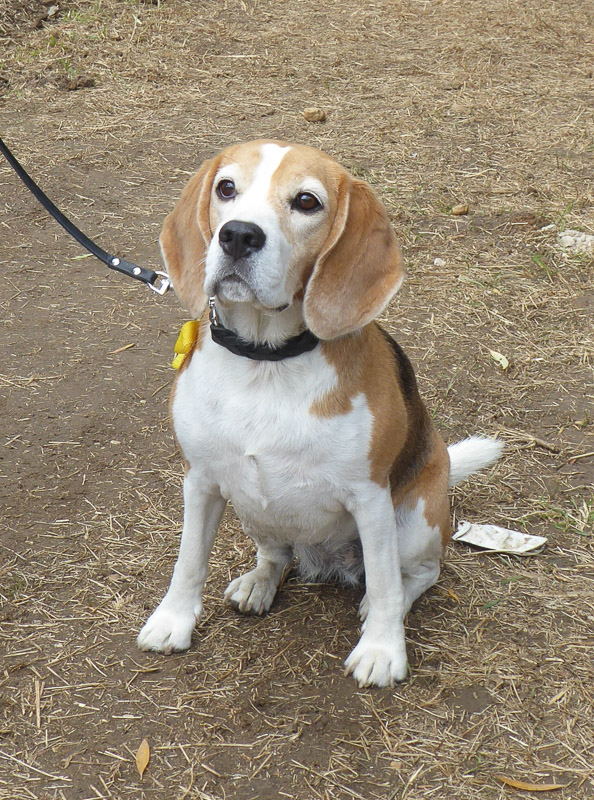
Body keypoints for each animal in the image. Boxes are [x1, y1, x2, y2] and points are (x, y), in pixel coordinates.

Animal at [138, 139, 500, 688]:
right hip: (252, 506)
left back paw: (378, 606)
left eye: (307, 202)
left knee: (413, 576)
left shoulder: (370, 498)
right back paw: (259, 582)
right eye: (226, 188)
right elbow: (189, 560)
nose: (237, 235)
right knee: (276, 554)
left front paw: (382, 651)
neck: (265, 361)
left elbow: (388, 584)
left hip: (412, 521)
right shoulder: (200, 480)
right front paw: (173, 620)